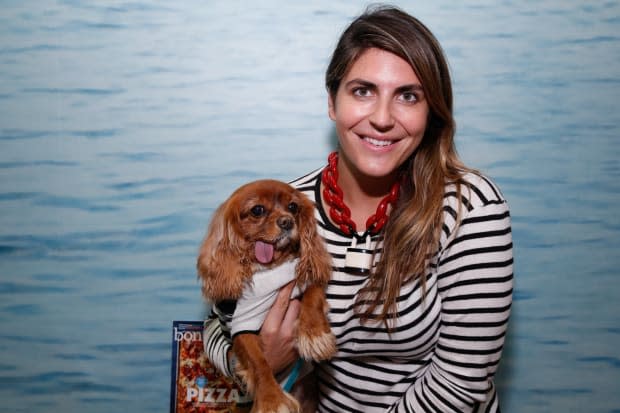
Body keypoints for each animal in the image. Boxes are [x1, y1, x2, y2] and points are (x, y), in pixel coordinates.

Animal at [197, 179, 334, 410]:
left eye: (293, 207)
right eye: (257, 210)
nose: (287, 222)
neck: (270, 268)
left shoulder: (303, 281)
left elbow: (313, 296)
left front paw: (314, 335)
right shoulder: (239, 324)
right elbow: (258, 361)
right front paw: (272, 399)